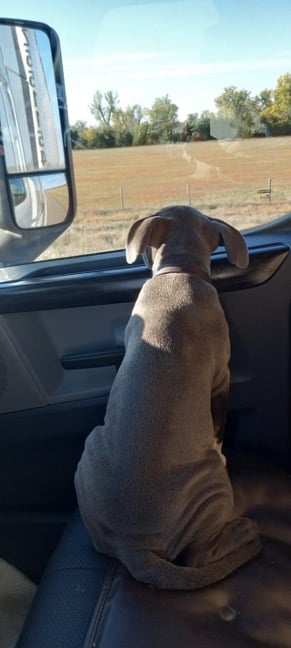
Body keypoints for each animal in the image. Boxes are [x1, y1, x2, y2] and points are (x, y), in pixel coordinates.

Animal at [75, 205, 262, 588]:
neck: (180, 272)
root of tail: (132, 547)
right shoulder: (222, 378)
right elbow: (219, 424)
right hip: (212, 487)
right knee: (200, 554)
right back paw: (243, 529)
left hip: (89, 448)